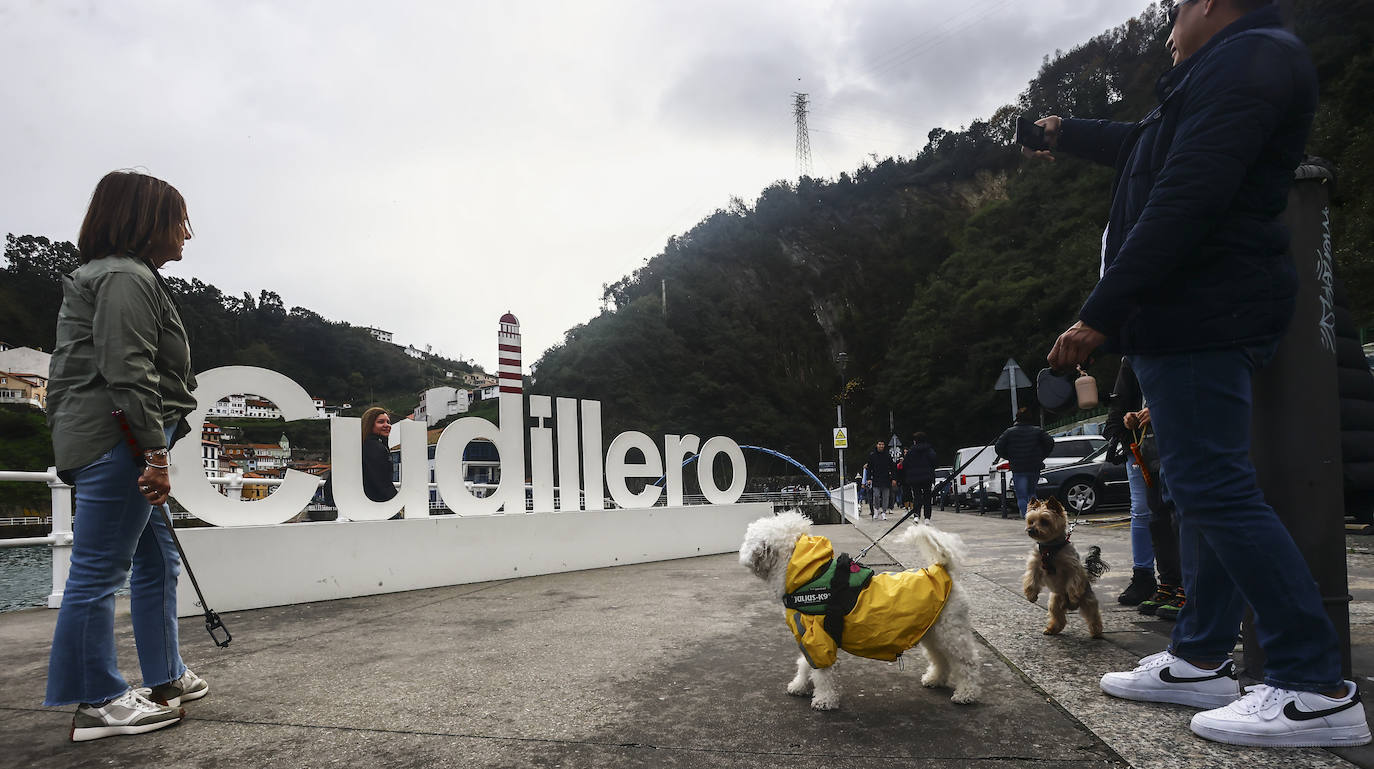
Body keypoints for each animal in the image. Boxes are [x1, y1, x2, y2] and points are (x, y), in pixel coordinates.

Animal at [741, 510, 978, 708]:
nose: (742, 554)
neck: (809, 577)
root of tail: (943, 570)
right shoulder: (808, 637)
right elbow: (806, 664)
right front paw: (799, 686)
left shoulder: (821, 638)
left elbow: (824, 674)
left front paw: (824, 700)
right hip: (931, 630)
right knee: (941, 658)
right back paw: (935, 679)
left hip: (951, 631)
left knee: (966, 662)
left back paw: (966, 693)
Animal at [1022, 499, 1104, 637]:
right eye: (1031, 521)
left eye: (1044, 521)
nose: (1030, 530)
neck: (1050, 546)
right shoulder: (1035, 565)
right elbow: (1031, 579)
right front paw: (1031, 596)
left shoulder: (1072, 567)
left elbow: (1073, 582)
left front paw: (1073, 596)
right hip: (1055, 602)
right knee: (1058, 617)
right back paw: (1051, 629)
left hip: (1087, 599)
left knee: (1093, 615)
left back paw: (1096, 632)